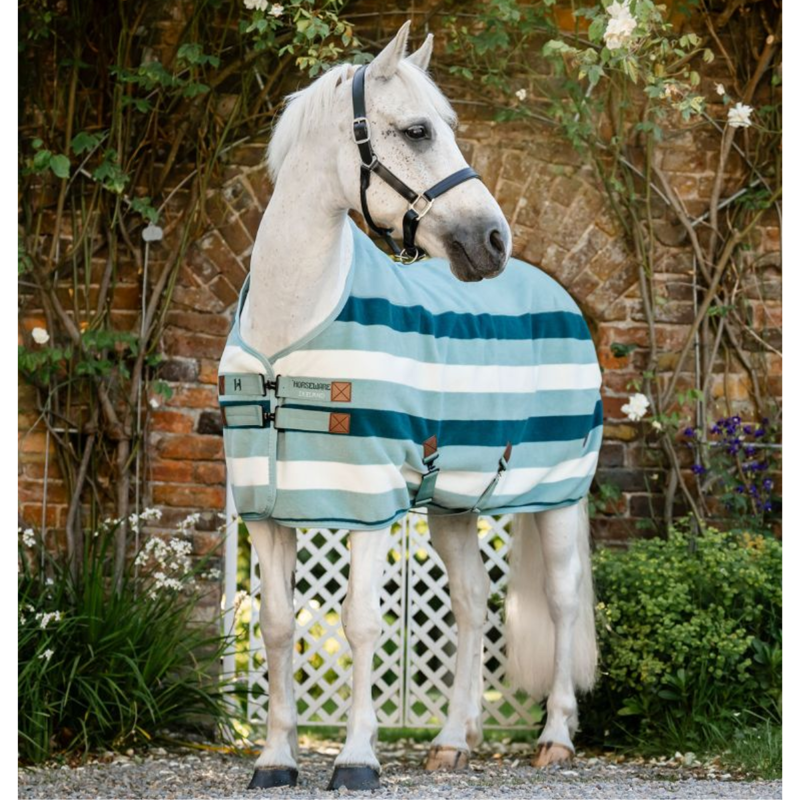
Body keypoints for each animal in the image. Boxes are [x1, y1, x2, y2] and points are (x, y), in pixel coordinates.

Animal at [218, 21, 601, 791]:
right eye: (419, 131)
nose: (492, 242)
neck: (289, 331)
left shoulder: (368, 501)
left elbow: (361, 622)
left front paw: (356, 760)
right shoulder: (268, 511)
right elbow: (276, 624)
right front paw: (275, 759)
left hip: (557, 494)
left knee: (561, 602)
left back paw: (555, 737)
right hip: (455, 504)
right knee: (474, 605)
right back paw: (455, 740)